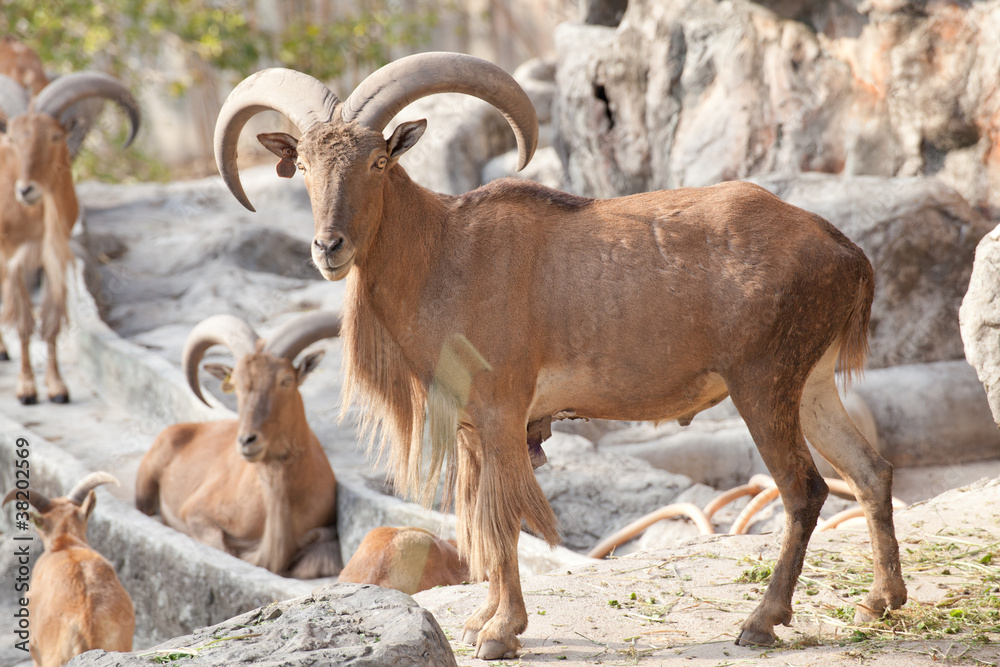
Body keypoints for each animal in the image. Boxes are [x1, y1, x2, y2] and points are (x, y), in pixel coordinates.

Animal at [0, 71, 139, 404]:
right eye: (12, 139)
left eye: (54, 137)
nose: (26, 190)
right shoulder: (14, 258)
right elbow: (23, 323)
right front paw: (26, 389)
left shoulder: (56, 258)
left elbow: (51, 322)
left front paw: (57, 387)